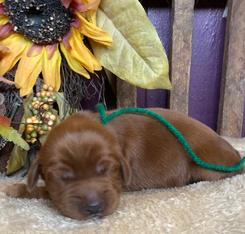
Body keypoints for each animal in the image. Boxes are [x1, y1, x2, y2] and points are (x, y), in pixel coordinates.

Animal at [4, 108, 244, 219]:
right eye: (64, 177)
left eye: (106, 170)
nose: (94, 208)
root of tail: (234, 154)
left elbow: (44, 191)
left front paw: (16, 188)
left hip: (206, 164)